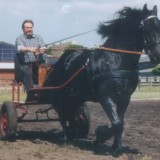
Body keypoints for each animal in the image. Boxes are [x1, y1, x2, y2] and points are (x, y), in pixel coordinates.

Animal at [40, 4, 159, 155]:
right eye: (147, 29)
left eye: (159, 27)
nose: (158, 55)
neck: (116, 60)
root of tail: (60, 62)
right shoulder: (105, 97)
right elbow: (116, 123)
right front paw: (102, 137)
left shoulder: (125, 98)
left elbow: (120, 123)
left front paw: (115, 146)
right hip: (59, 94)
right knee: (62, 114)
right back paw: (66, 137)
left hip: (75, 96)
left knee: (71, 114)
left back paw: (73, 133)